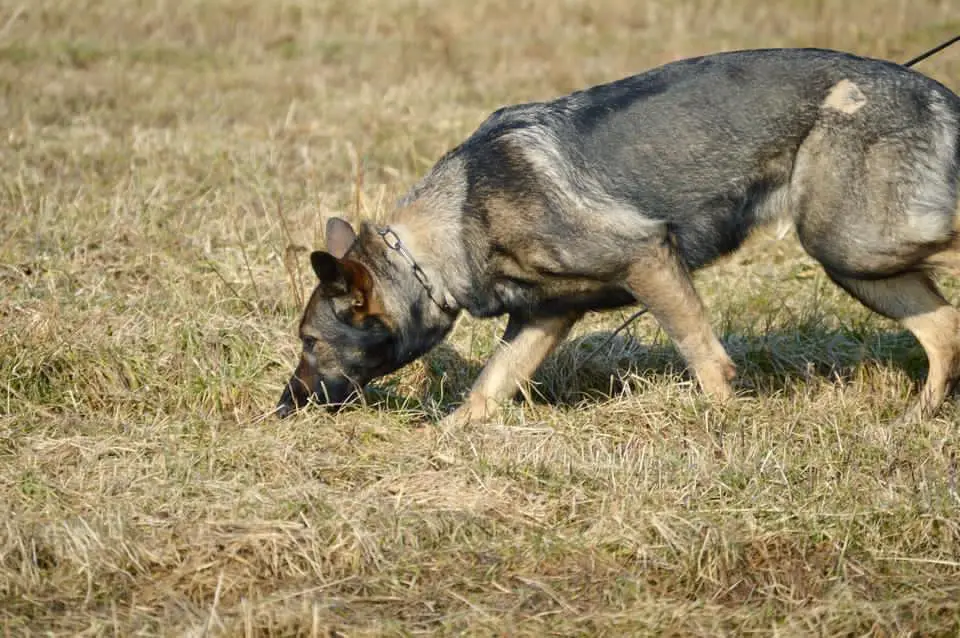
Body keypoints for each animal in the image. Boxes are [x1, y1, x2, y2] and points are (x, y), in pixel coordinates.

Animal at [276, 47, 960, 425]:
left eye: (312, 341)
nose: (284, 406)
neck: (452, 225)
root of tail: (939, 94)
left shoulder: (649, 259)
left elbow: (705, 360)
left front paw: (724, 427)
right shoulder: (543, 319)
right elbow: (485, 391)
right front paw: (440, 445)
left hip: (854, 242)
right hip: (863, 264)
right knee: (944, 329)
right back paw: (915, 421)